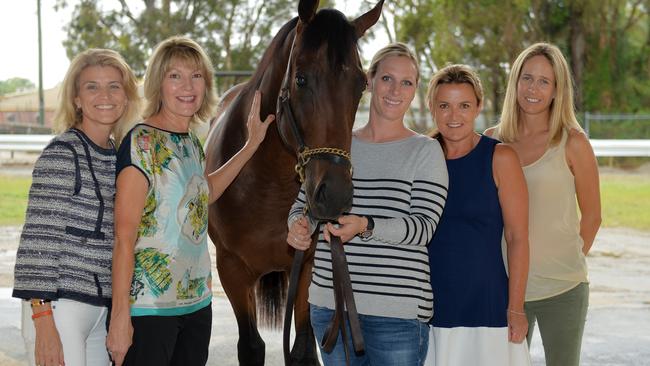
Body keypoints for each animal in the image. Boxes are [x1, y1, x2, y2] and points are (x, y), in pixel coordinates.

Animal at [204, 0, 380, 364]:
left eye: (360, 85)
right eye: (300, 79)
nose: (335, 196)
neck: (264, 184)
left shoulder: (309, 266)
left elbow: (303, 348)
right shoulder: (232, 270)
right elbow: (251, 346)